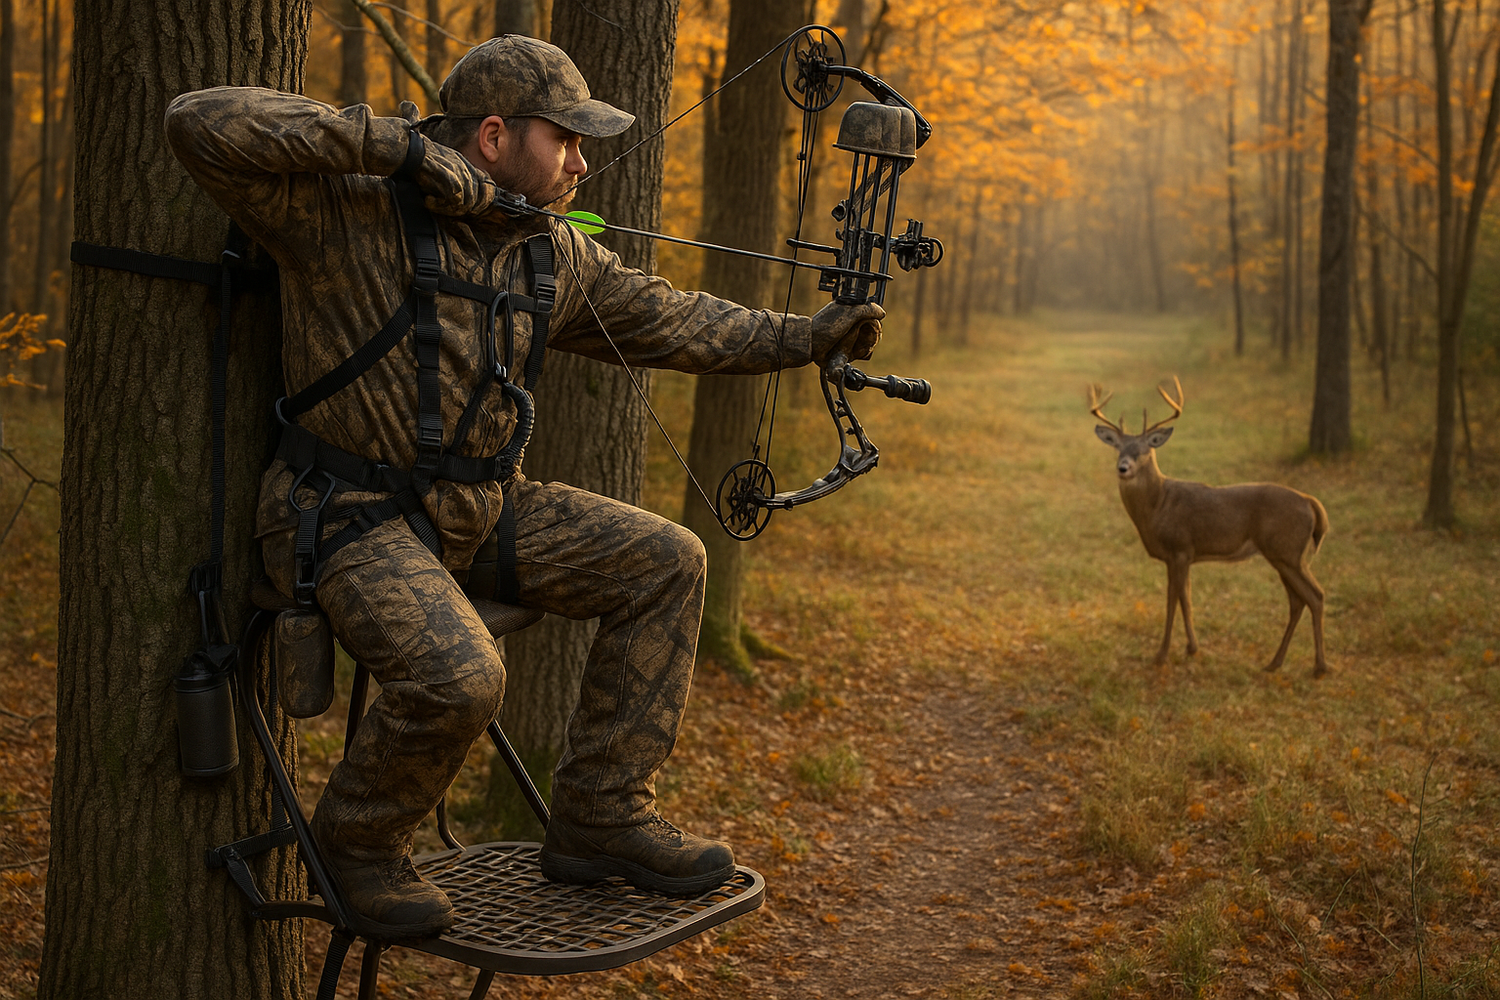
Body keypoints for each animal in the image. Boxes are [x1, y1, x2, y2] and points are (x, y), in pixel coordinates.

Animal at [1089, 379, 1330, 676]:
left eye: (1145, 450)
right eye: (1118, 448)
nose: (1123, 468)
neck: (1157, 506)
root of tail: (1310, 502)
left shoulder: (1179, 548)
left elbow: (1173, 600)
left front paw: (1162, 654)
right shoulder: (1183, 555)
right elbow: (1187, 599)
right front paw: (1192, 648)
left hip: (1288, 552)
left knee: (1315, 596)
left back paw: (1319, 667)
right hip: (1285, 555)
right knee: (1298, 601)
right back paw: (1275, 663)